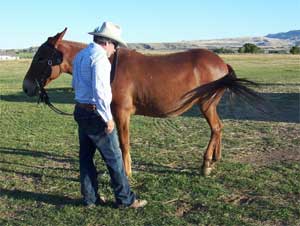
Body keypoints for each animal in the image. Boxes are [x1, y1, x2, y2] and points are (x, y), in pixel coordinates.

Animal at [22, 28, 262, 177]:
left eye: (41, 58)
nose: (26, 87)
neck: (107, 64)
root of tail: (221, 63)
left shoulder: (121, 113)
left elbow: (124, 143)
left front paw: (127, 172)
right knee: (219, 128)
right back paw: (215, 158)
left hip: (206, 105)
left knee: (216, 128)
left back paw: (205, 165)